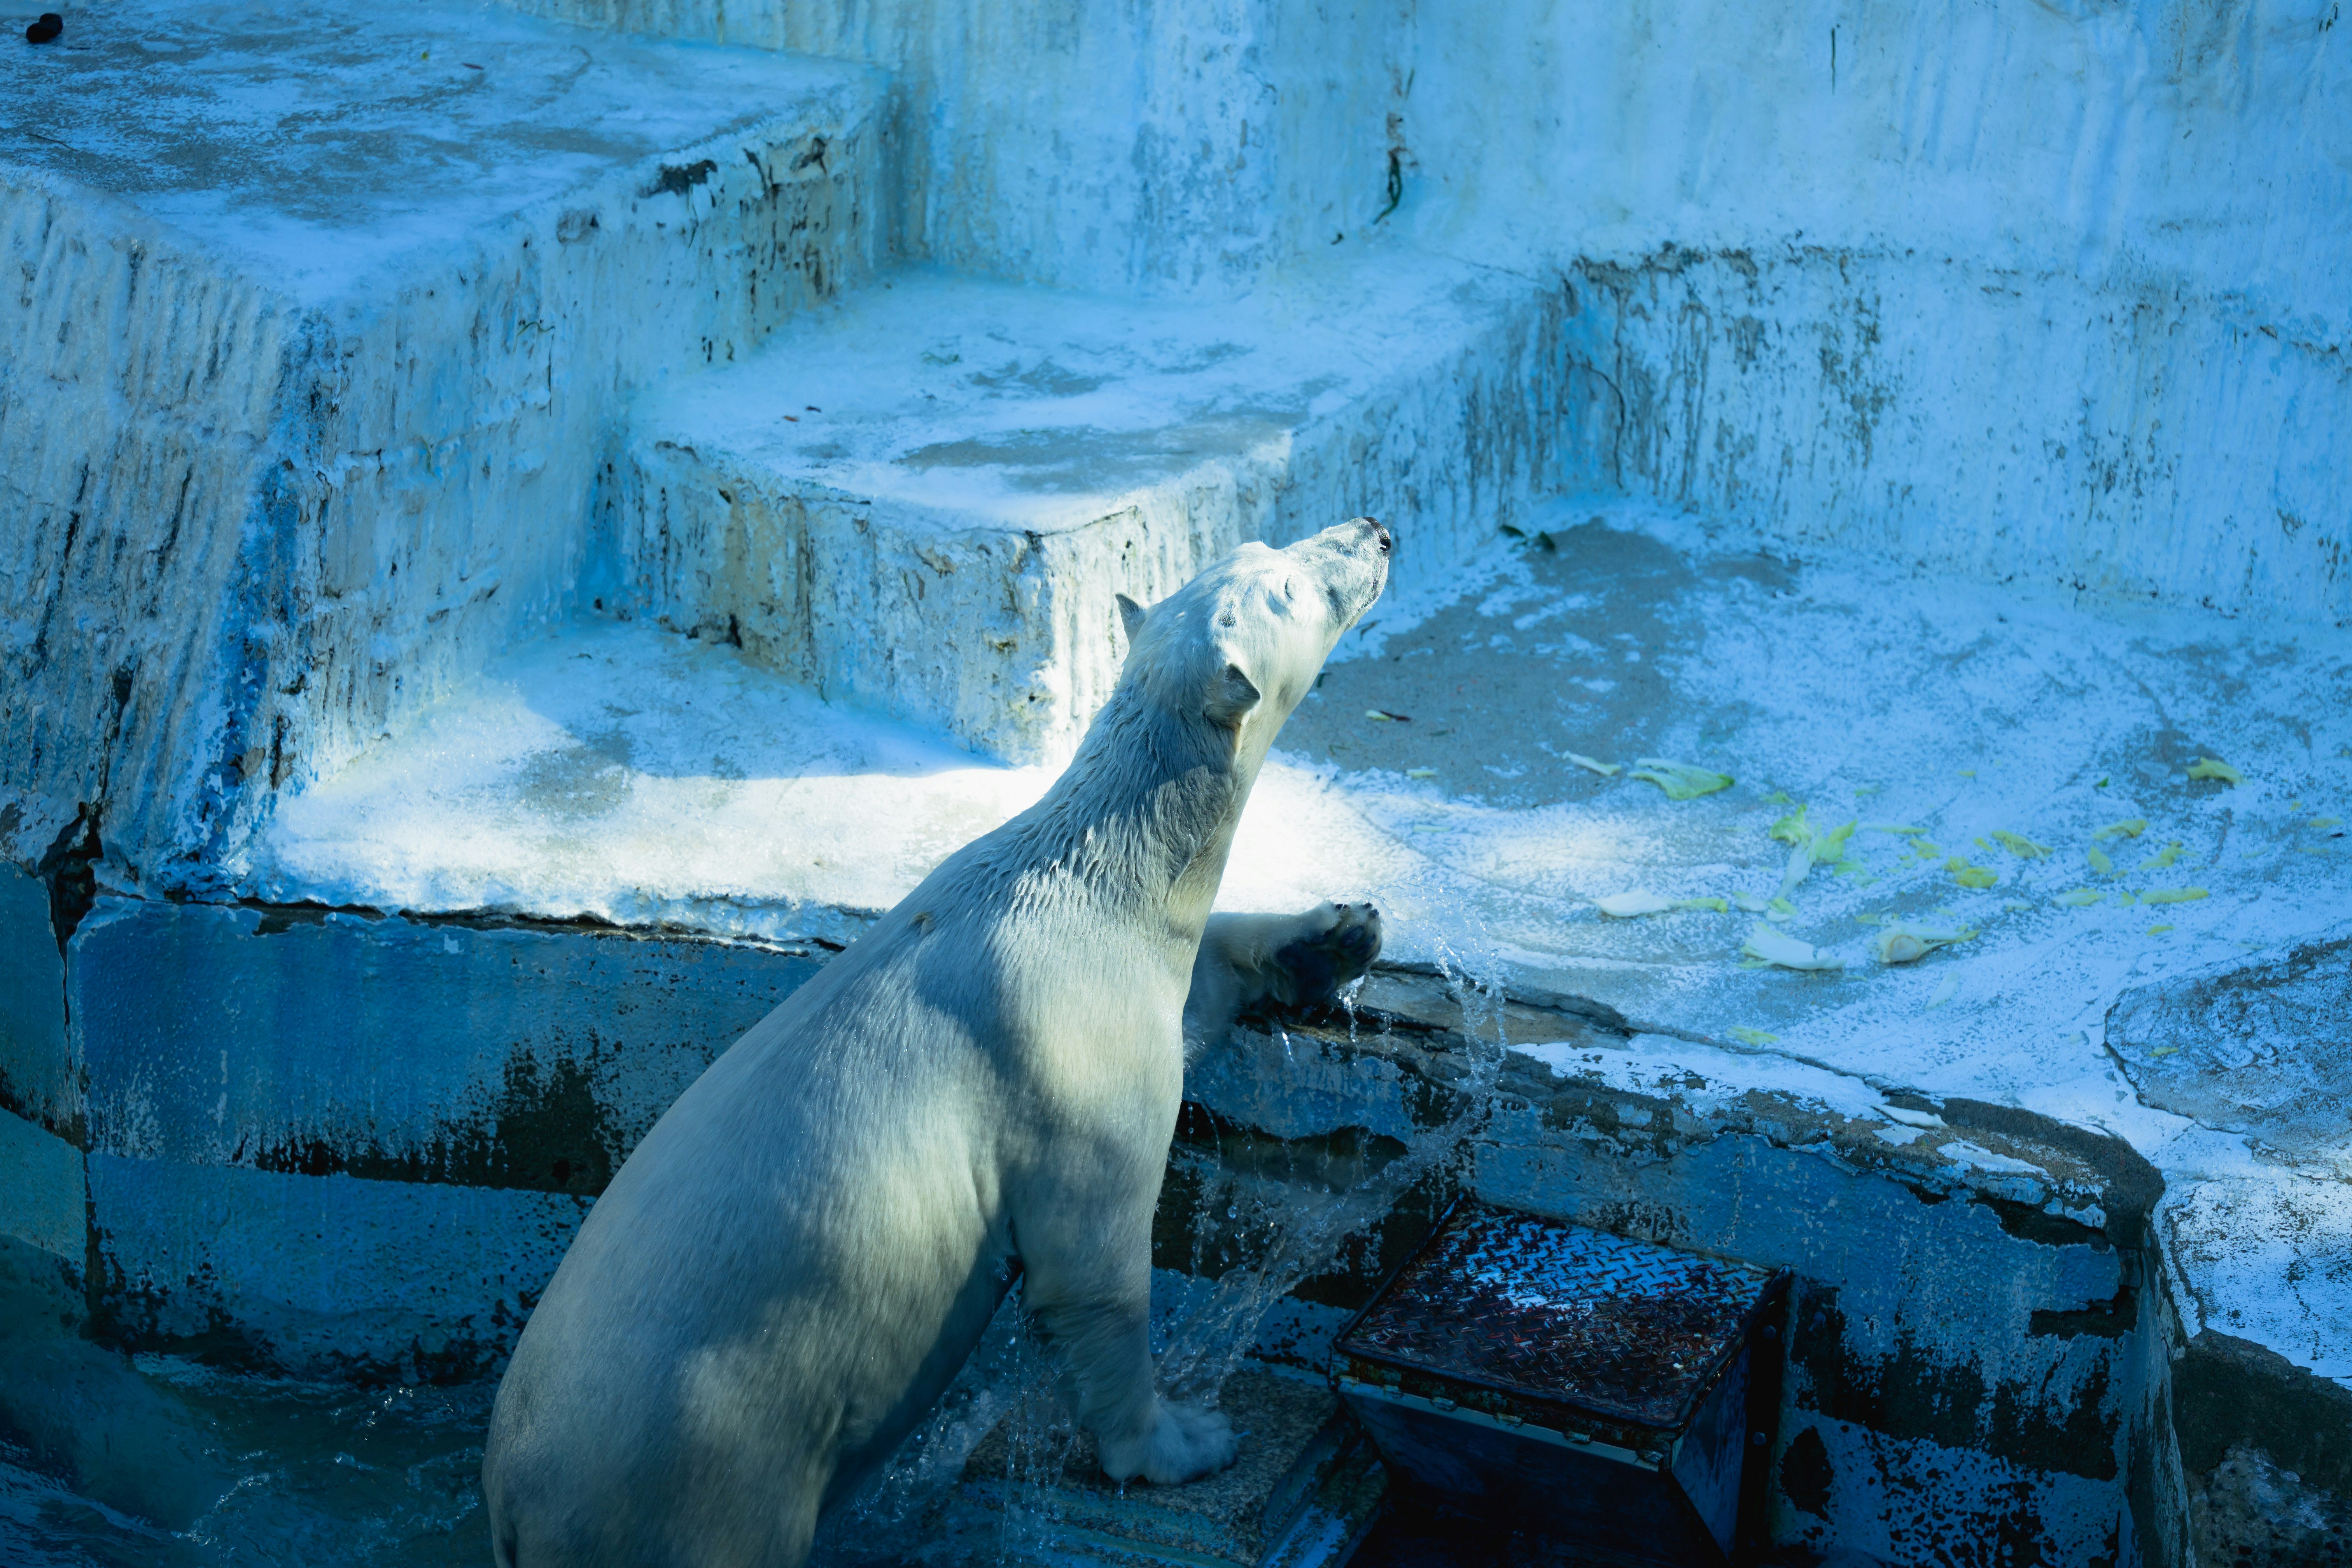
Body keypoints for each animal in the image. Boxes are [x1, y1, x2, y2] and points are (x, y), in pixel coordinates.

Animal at [482, 515, 1392, 1568]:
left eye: (1260, 549)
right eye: (1292, 585)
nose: (1373, 532)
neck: (1087, 876)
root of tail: (514, 1501)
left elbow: (1196, 989)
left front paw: (1335, 934)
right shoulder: (1066, 1065)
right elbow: (1094, 1271)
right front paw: (1184, 1440)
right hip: (697, 1471)